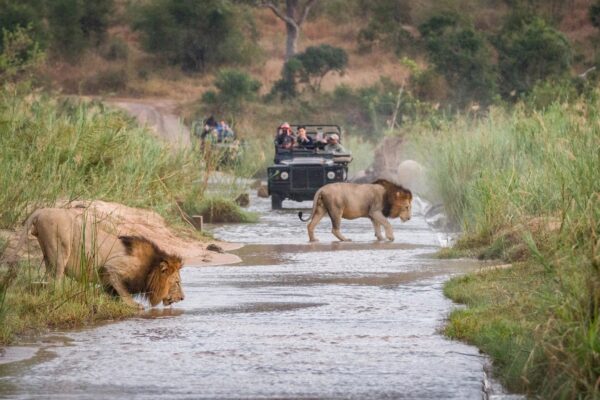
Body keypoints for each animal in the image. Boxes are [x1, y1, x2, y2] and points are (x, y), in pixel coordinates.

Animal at [12, 209, 184, 310]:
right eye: (176, 282)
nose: (183, 298)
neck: (150, 268)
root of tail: (42, 211)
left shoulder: (108, 279)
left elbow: (112, 291)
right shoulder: (112, 267)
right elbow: (123, 291)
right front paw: (134, 305)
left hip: (48, 254)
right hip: (61, 248)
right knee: (56, 279)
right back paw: (61, 297)